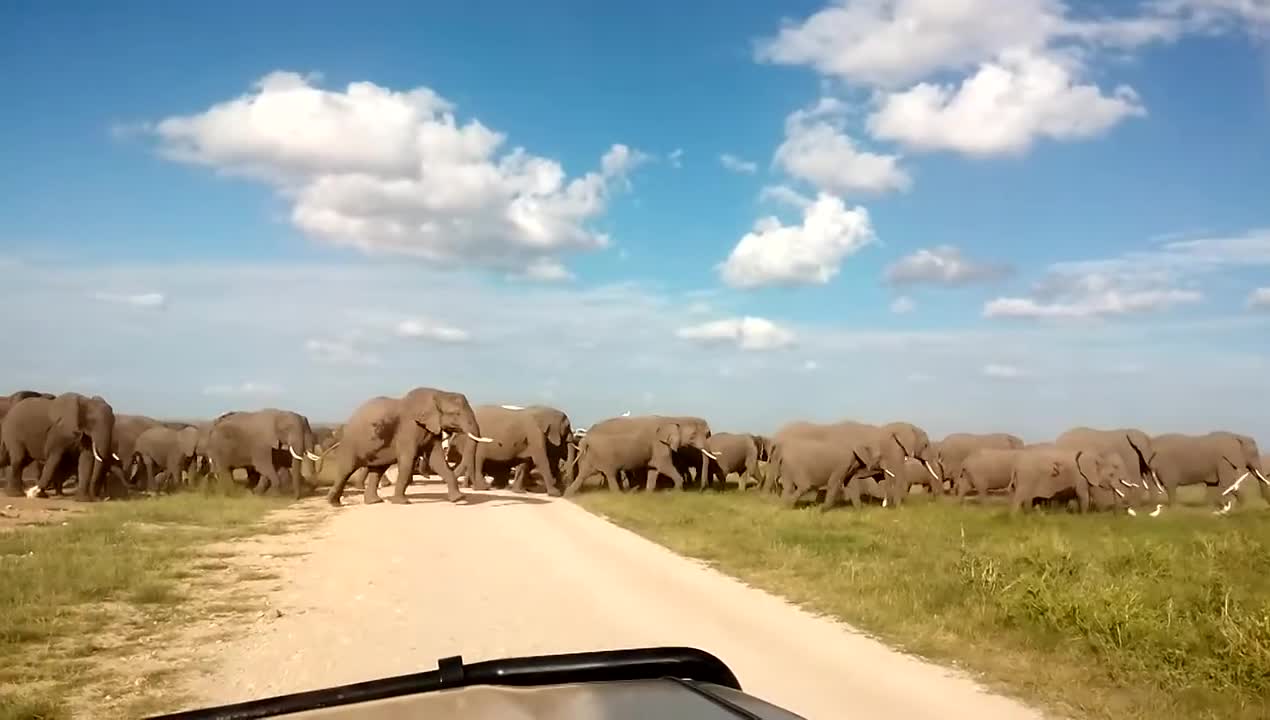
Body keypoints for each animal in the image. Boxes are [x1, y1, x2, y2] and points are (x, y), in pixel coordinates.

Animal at [566, 416, 716, 495]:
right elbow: (664, 466)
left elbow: (653, 470)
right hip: (604, 455)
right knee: (610, 473)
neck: (675, 418)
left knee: (583, 474)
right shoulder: (659, 445)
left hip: (589, 455)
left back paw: (568, 494)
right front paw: (676, 492)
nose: (702, 489)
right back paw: (619, 495)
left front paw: (648, 493)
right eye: (693, 436)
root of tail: (585, 438)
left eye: (708, 434)